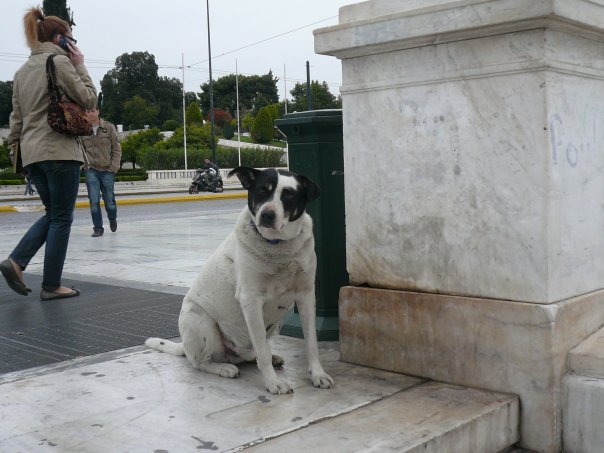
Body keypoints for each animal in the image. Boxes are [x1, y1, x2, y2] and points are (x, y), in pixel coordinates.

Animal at [146, 166, 336, 392]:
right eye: (262, 190)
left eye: (289, 196)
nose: (267, 214)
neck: (277, 246)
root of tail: (184, 346)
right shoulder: (251, 300)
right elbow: (262, 350)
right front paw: (273, 383)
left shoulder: (306, 295)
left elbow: (311, 343)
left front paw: (318, 374)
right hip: (200, 321)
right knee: (200, 362)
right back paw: (224, 368)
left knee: (253, 351)